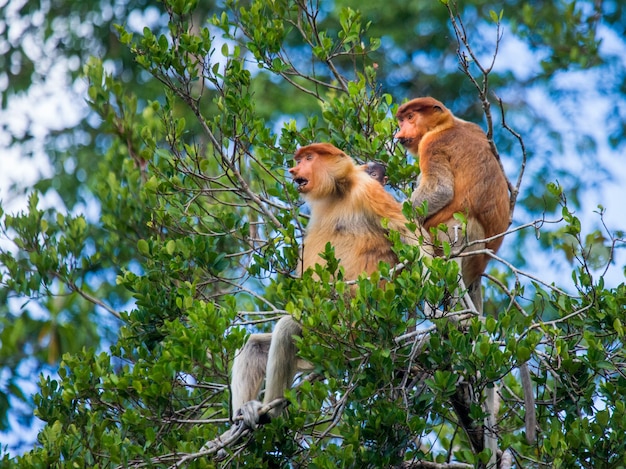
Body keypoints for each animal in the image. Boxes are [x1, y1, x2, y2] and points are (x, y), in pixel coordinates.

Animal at [229, 142, 424, 428]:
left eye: (309, 158)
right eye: (299, 160)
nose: (293, 169)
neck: (338, 191)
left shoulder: (369, 192)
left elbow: (415, 245)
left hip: (345, 329)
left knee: (287, 329)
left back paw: (270, 412)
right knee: (254, 345)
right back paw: (245, 411)